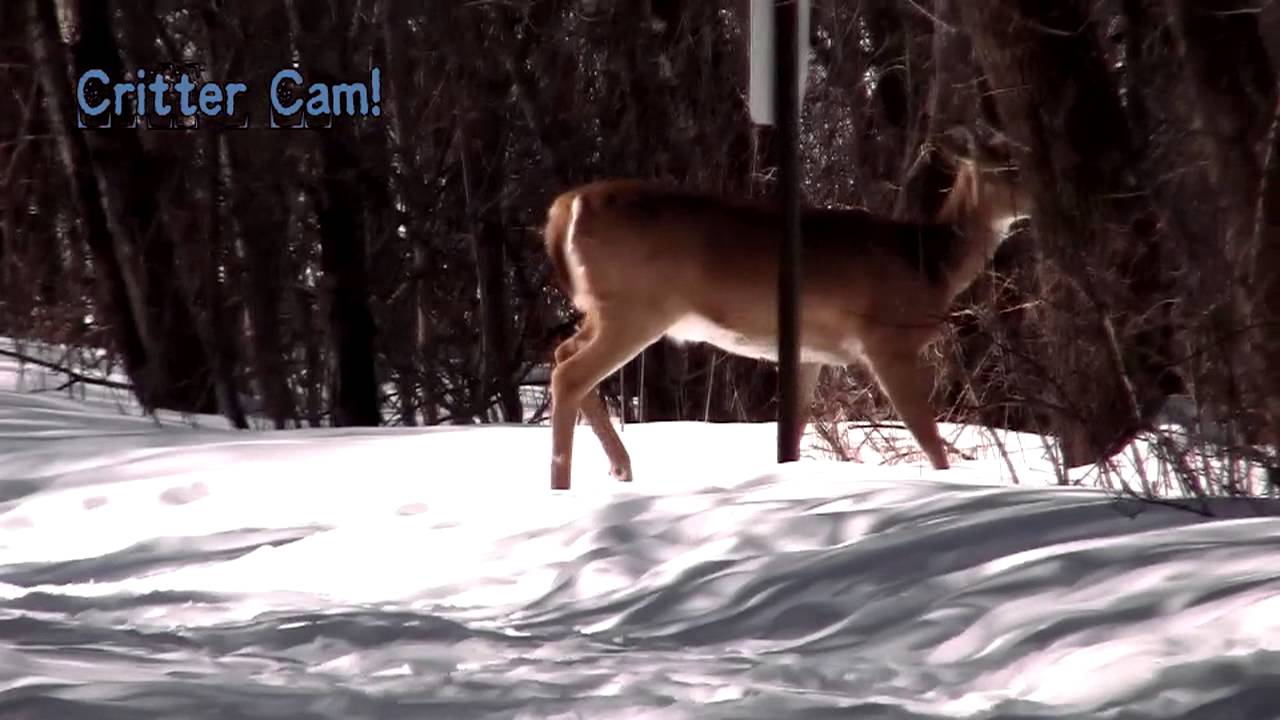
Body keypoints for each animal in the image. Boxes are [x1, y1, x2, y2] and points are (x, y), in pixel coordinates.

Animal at [541, 131, 1032, 490]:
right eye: (1006, 166)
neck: (929, 262)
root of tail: (564, 208)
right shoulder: (887, 341)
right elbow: (929, 439)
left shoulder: (811, 352)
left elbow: (794, 428)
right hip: (636, 307)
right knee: (569, 375)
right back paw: (563, 487)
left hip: (607, 308)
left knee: (563, 354)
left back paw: (621, 469)